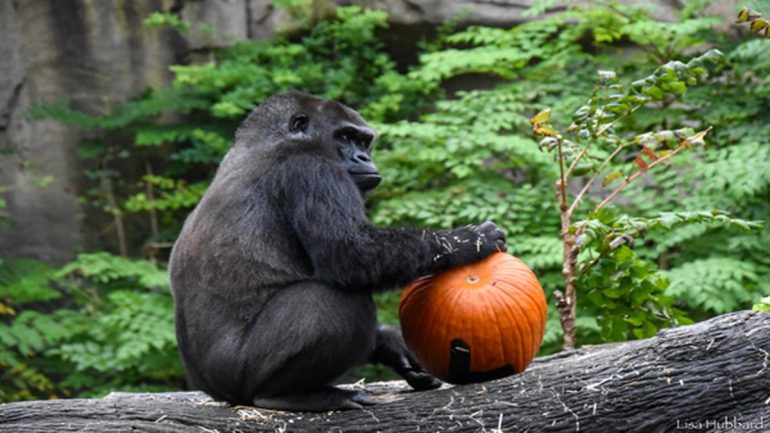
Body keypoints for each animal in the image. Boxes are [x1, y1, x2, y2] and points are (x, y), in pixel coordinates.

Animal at [169, 91, 507, 411]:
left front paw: (391, 345)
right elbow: (351, 253)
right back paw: (288, 395)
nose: (362, 157)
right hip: (236, 377)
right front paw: (468, 241)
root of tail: (210, 388)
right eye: (344, 137)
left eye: (364, 141)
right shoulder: (312, 169)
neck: (270, 141)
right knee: (334, 301)